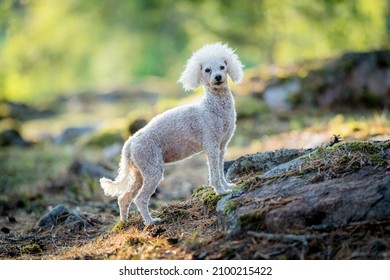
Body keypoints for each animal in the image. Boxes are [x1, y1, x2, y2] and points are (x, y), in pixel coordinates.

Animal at [99, 42, 242, 225]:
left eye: (223, 67)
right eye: (207, 70)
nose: (218, 77)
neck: (214, 107)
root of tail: (130, 142)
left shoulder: (222, 147)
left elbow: (221, 170)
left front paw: (227, 186)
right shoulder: (211, 146)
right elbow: (214, 174)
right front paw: (220, 191)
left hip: (139, 172)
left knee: (123, 198)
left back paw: (124, 222)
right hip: (152, 169)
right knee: (140, 199)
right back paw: (151, 221)